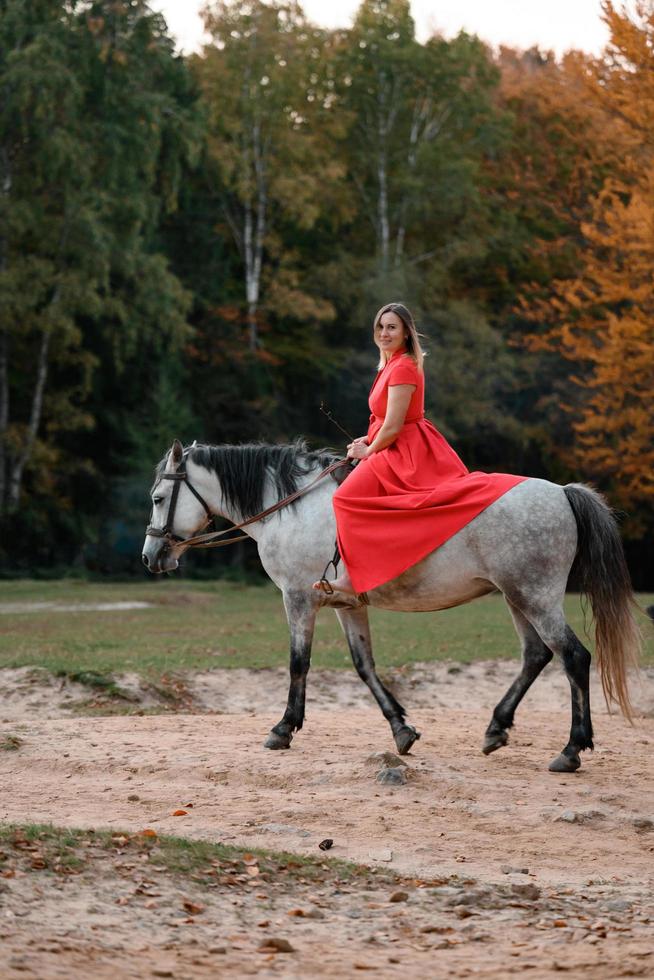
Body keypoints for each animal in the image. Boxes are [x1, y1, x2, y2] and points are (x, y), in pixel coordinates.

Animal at [141, 439, 641, 773]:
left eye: (158, 498)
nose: (150, 557)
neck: (292, 508)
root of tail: (560, 491)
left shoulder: (298, 599)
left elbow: (298, 663)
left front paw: (283, 729)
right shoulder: (345, 604)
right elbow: (364, 666)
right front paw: (401, 729)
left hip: (534, 598)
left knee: (573, 657)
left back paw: (571, 750)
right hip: (517, 598)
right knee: (536, 655)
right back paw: (496, 728)